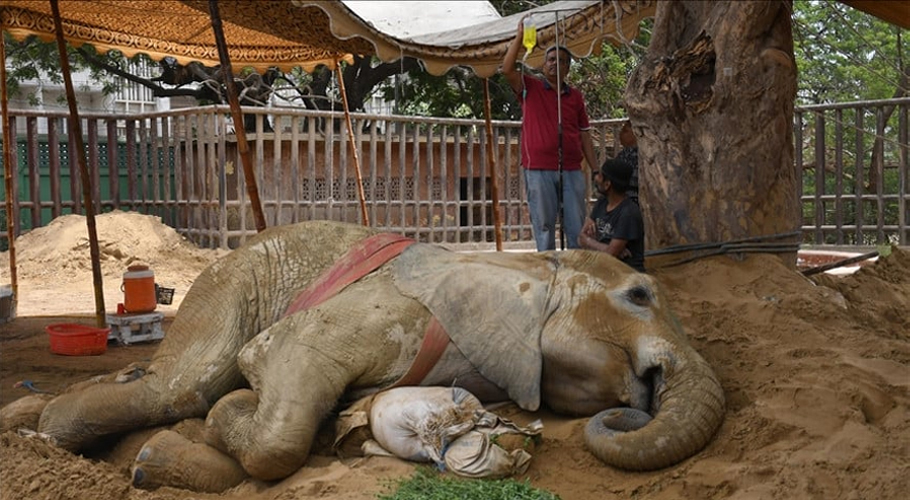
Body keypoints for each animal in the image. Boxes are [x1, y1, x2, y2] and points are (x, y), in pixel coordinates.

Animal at [18, 220, 723, 490]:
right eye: (638, 294)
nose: (636, 403)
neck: (528, 262)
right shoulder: (396, 310)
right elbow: (280, 373)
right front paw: (238, 404)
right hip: (234, 278)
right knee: (177, 386)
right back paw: (49, 429)